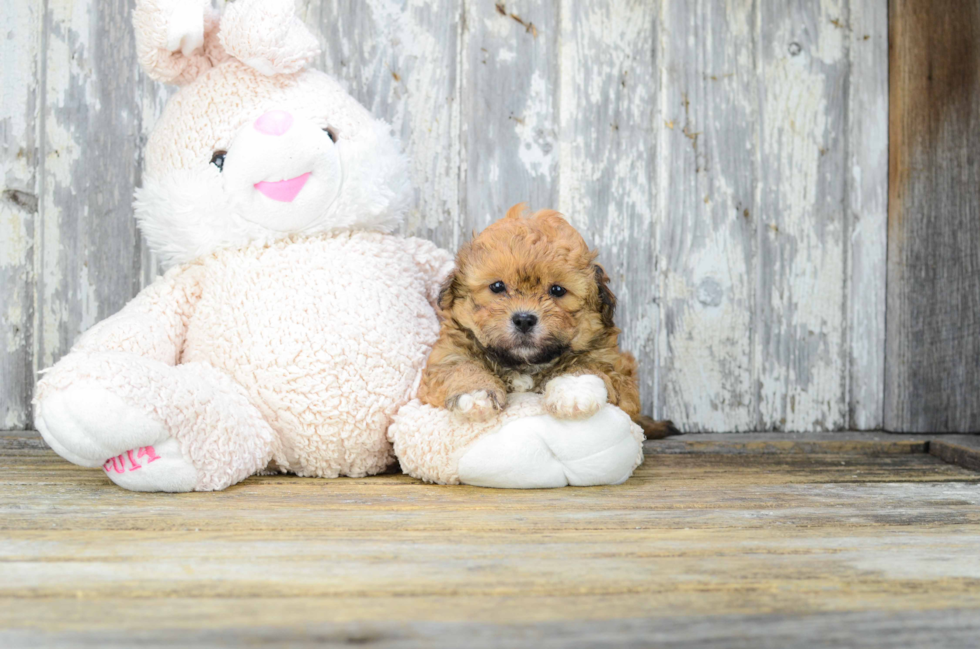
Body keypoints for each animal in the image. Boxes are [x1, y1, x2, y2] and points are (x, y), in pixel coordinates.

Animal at [418, 205, 676, 438]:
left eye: (557, 290)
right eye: (497, 286)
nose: (524, 320)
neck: (525, 364)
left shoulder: (619, 372)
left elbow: (590, 365)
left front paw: (573, 389)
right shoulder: (448, 353)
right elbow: (461, 365)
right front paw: (476, 392)